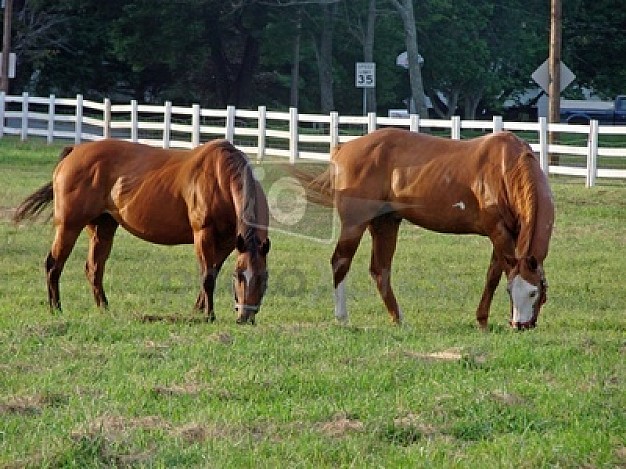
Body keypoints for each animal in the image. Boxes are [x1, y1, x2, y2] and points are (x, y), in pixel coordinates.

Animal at [13, 137, 270, 324]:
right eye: (239, 276)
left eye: (264, 278)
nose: (245, 317)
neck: (219, 176)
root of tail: (76, 150)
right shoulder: (203, 234)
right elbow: (207, 276)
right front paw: (209, 315)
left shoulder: (228, 242)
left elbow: (213, 272)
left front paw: (199, 309)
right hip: (69, 226)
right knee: (53, 264)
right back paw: (56, 309)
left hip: (102, 227)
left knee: (94, 269)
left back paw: (104, 308)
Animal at [294, 126, 552, 328]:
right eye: (512, 292)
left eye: (534, 291)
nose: (520, 325)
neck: (506, 168)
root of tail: (343, 148)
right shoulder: (497, 232)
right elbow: (496, 276)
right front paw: (483, 321)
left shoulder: (509, 235)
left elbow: (496, 273)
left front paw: (483, 320)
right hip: (355, 223)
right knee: (341, 262)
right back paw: (342, 318)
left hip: (385, 223)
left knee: (380, 271)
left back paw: (398, 319)